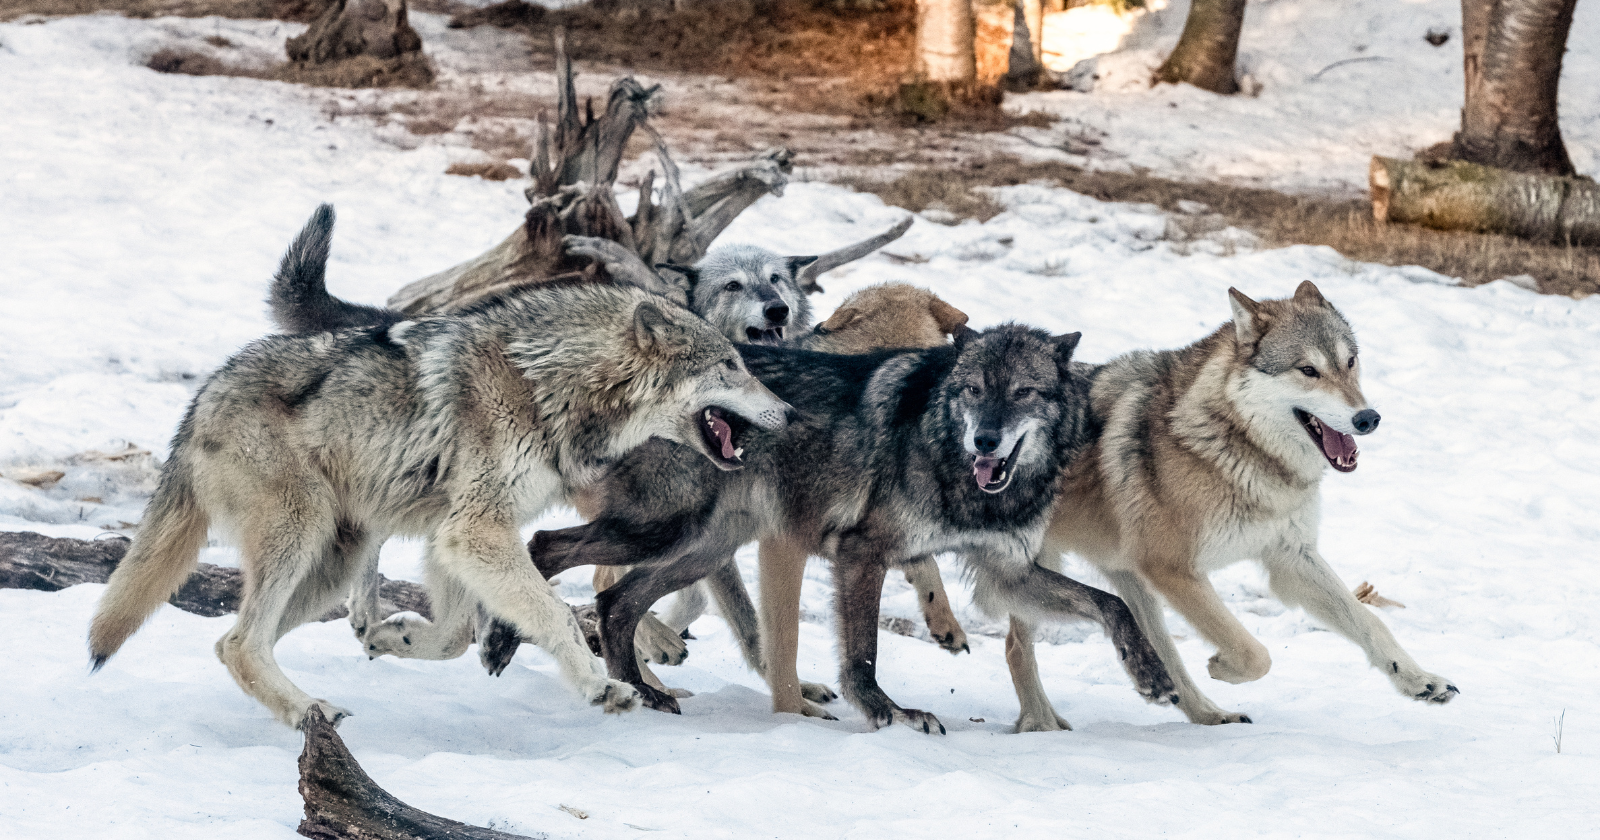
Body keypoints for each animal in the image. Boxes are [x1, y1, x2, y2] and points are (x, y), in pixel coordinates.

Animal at [87, 205, 793, 729]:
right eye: (732, 366)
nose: (788, 411)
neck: (546, 382)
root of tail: (201, 399)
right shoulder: (475, 531)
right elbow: (555, 613)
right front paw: (601, 689)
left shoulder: (452, 535)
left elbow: (454, 634)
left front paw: (396, 639)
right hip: (300, 535)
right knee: (239, 642)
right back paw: (310, 710)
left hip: (330, 562)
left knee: (231, 640)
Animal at [525, 326, 1179, 731]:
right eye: (973, 390)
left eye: (1023, 392)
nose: (986, 440)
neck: (952, 461)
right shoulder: (863, 552)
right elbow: (863, 652)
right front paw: (893, 713)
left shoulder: (1007, 574)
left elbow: (1113, 603)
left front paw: (1152, 676)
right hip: (661, 531)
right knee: (545, 549)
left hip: (699, 549)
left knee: (614, 602)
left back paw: (647, 692)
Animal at [1005, 281, 1458, 730]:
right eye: (1308, 370)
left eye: (1350, 362)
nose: (1368, 418)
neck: (1235, 446)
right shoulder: (1173, 569)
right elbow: (1255, 653)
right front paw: (1221, 666)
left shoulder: (1291, 557)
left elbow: (1371, 622)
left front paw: (1421, 681)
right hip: (1040, 573)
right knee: (1015, 646)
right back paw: (1041, 724)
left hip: (1130, 581)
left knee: (1163, 655)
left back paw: (1209, 714)